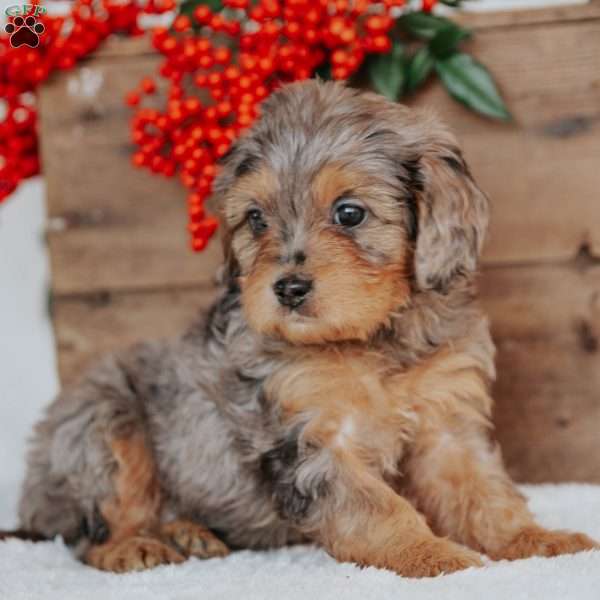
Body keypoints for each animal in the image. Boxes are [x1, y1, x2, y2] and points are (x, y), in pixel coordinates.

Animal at [8, 81, 596, 576]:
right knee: (93, 529)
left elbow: (484, 492)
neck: (371, 341)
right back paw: (137, 545)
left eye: (350, 213)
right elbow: (378, 509)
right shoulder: (307, 440)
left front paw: (537, 541)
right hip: (101, 423)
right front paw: (435, 556)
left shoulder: (447, 422)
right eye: (256, 219)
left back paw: (190, 533)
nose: (287, 289)